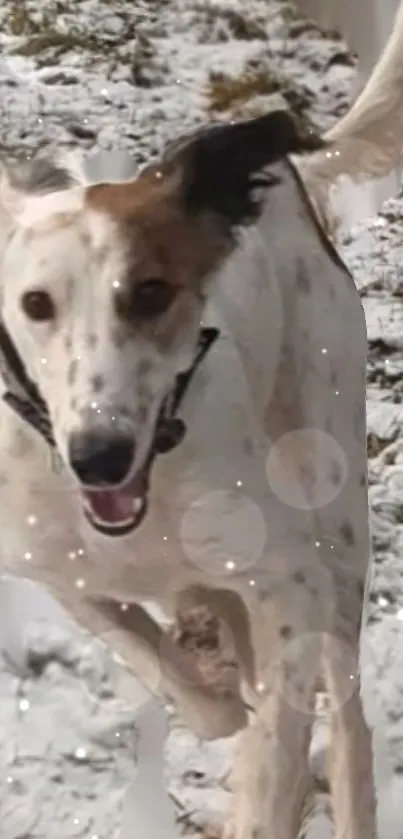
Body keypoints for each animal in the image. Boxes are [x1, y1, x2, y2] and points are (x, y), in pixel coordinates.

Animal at [1, 1, 403, 839]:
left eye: (152, 291)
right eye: (35, 303)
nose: (99, 454)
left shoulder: (290, 583)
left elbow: (273, 746)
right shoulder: (47, 562)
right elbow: (151, 655)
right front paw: (212, 697)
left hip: (334, 512)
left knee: (346, 712)